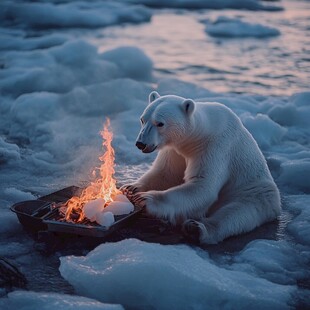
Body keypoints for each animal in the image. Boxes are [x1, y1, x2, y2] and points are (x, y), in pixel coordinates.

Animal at [122, 91, 282, 243]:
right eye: (142, 119)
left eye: (160, 123)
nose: (140, 143)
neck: (200, 133)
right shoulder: (175, 150)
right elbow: (165, 173)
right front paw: (131, 187)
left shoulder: (215, 147)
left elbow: (202, 186)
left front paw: (145, 199)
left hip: (254, 193)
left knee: (236, 214)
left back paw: (196, 229)